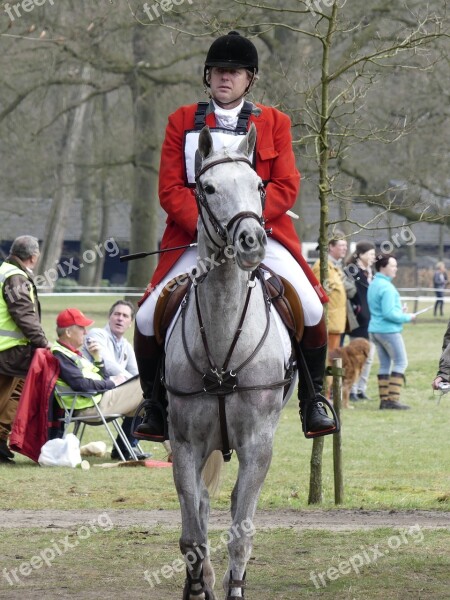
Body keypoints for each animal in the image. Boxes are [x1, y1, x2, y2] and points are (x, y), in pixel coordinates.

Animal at [164, 123, 288, 600]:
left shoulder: (258, 445)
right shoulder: (184, 445)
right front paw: (200, 586)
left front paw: (235, 587)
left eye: (259, 186)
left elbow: (241, 532)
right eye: (209, 187)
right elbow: (193, 536)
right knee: (199, 506)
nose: (251, 241)